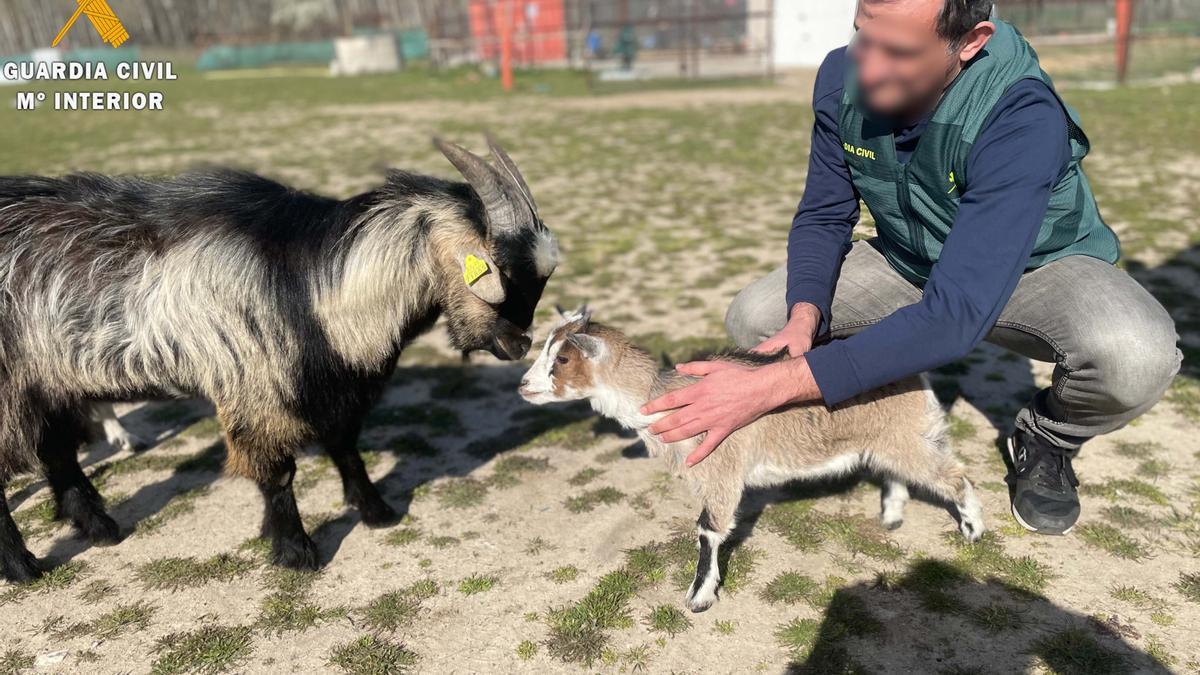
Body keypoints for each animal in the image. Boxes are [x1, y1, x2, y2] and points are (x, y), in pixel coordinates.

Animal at [518, 307, 984, 612]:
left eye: (562, 358)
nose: (523, 385)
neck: (660, 398)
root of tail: (916, 375)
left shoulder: (721, 466)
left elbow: (708, 529)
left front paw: (700, 597)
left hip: (904, 438)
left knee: (955, 475)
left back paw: (973, 530)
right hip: (890, 439)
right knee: (900, 471)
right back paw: (891, 516)